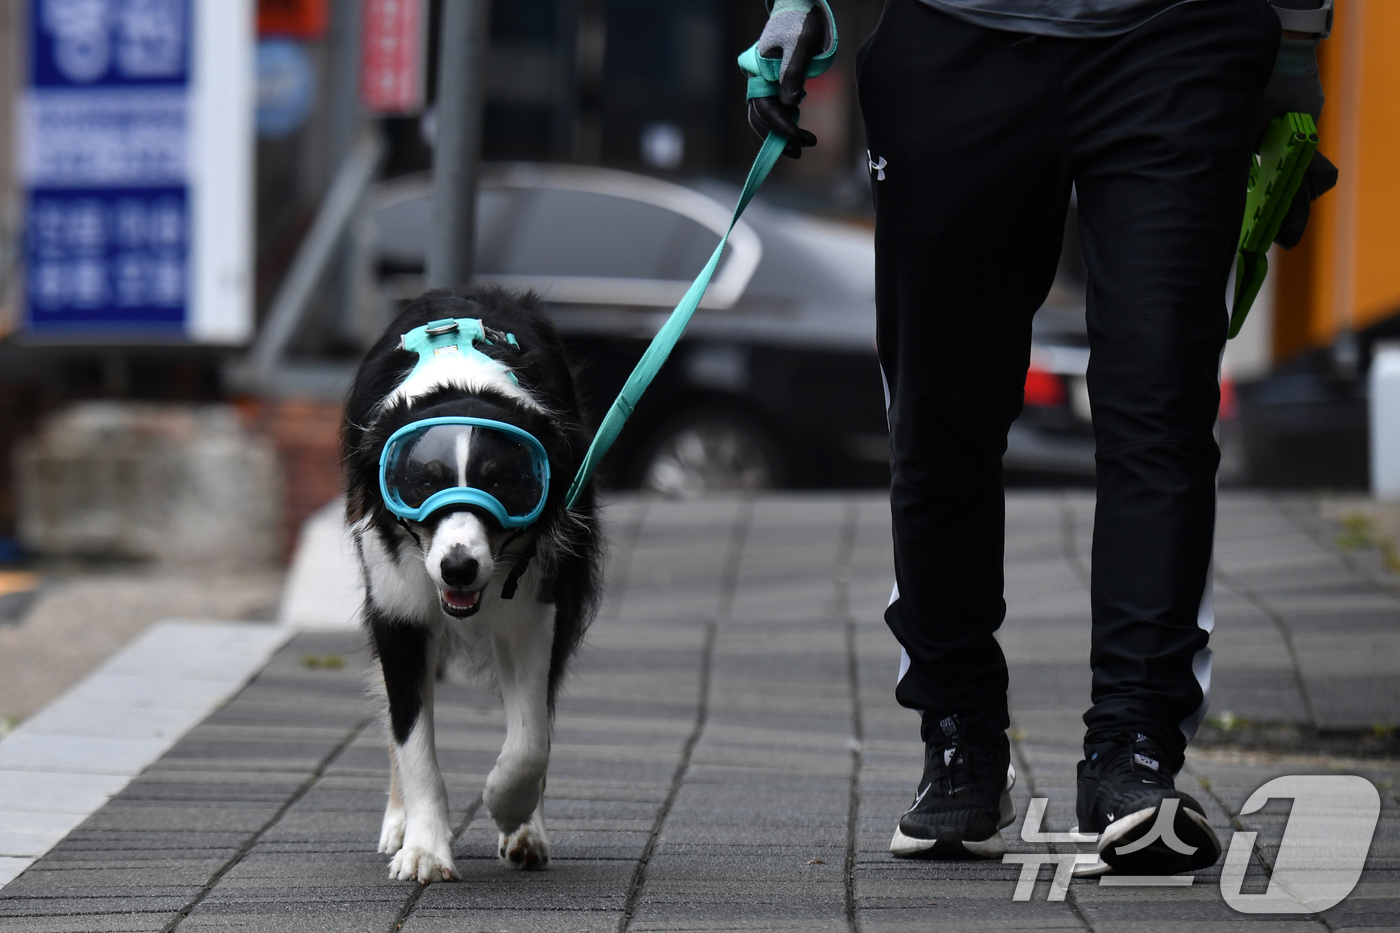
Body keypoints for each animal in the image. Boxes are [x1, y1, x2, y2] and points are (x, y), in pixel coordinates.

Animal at [344, 287, 602, 885]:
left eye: (503, 483)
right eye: (421, 482)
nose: (458, 568)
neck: (461, 385)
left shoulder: (534, 604)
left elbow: (530, 740)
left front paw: (510, 810)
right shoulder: (397, 607)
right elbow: (411, 737)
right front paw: (424, 849)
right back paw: (398, 824)